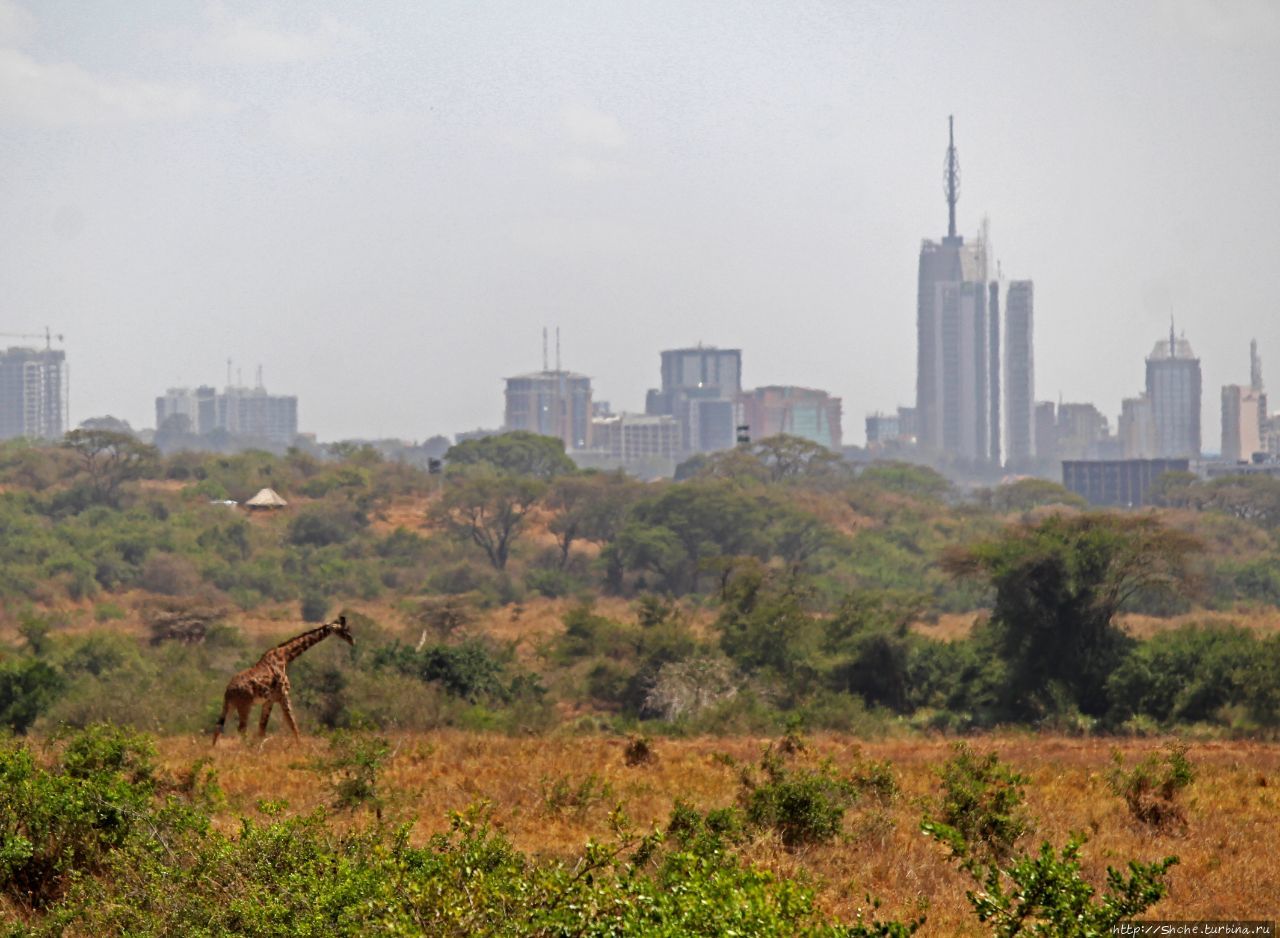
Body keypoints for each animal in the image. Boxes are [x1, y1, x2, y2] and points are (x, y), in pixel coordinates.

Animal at [211, 614, 353, 747]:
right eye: (345, 630)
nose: (353, 641)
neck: (285, 657)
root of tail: (228, 691)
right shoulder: (283, 695)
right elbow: (293, 724)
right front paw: (300, 747)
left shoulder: (269, 701)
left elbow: (262, 730)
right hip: (245, 705)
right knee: (241, 728)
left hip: (229, 705)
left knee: (219, 725)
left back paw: (213, 750)